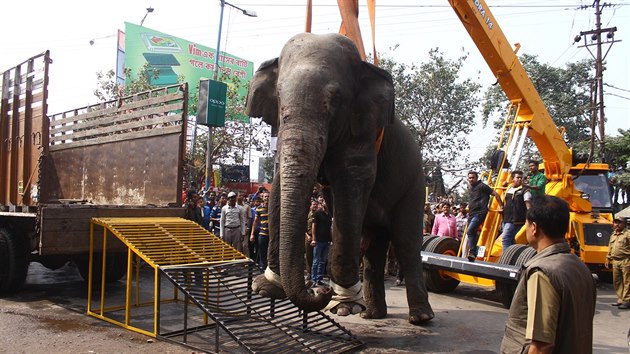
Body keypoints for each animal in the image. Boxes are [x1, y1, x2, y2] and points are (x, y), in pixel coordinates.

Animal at [243, 31, 434, 324]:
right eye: (279, 94)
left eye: (335, 98)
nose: (318, 289)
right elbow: (277, 182)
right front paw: (267, 288)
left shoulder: (362, 133)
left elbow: (350, 186)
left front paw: (343, 307)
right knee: (375, 246)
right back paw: (372, 315)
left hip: (415, 183)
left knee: (407, 241)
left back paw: (419, 317)